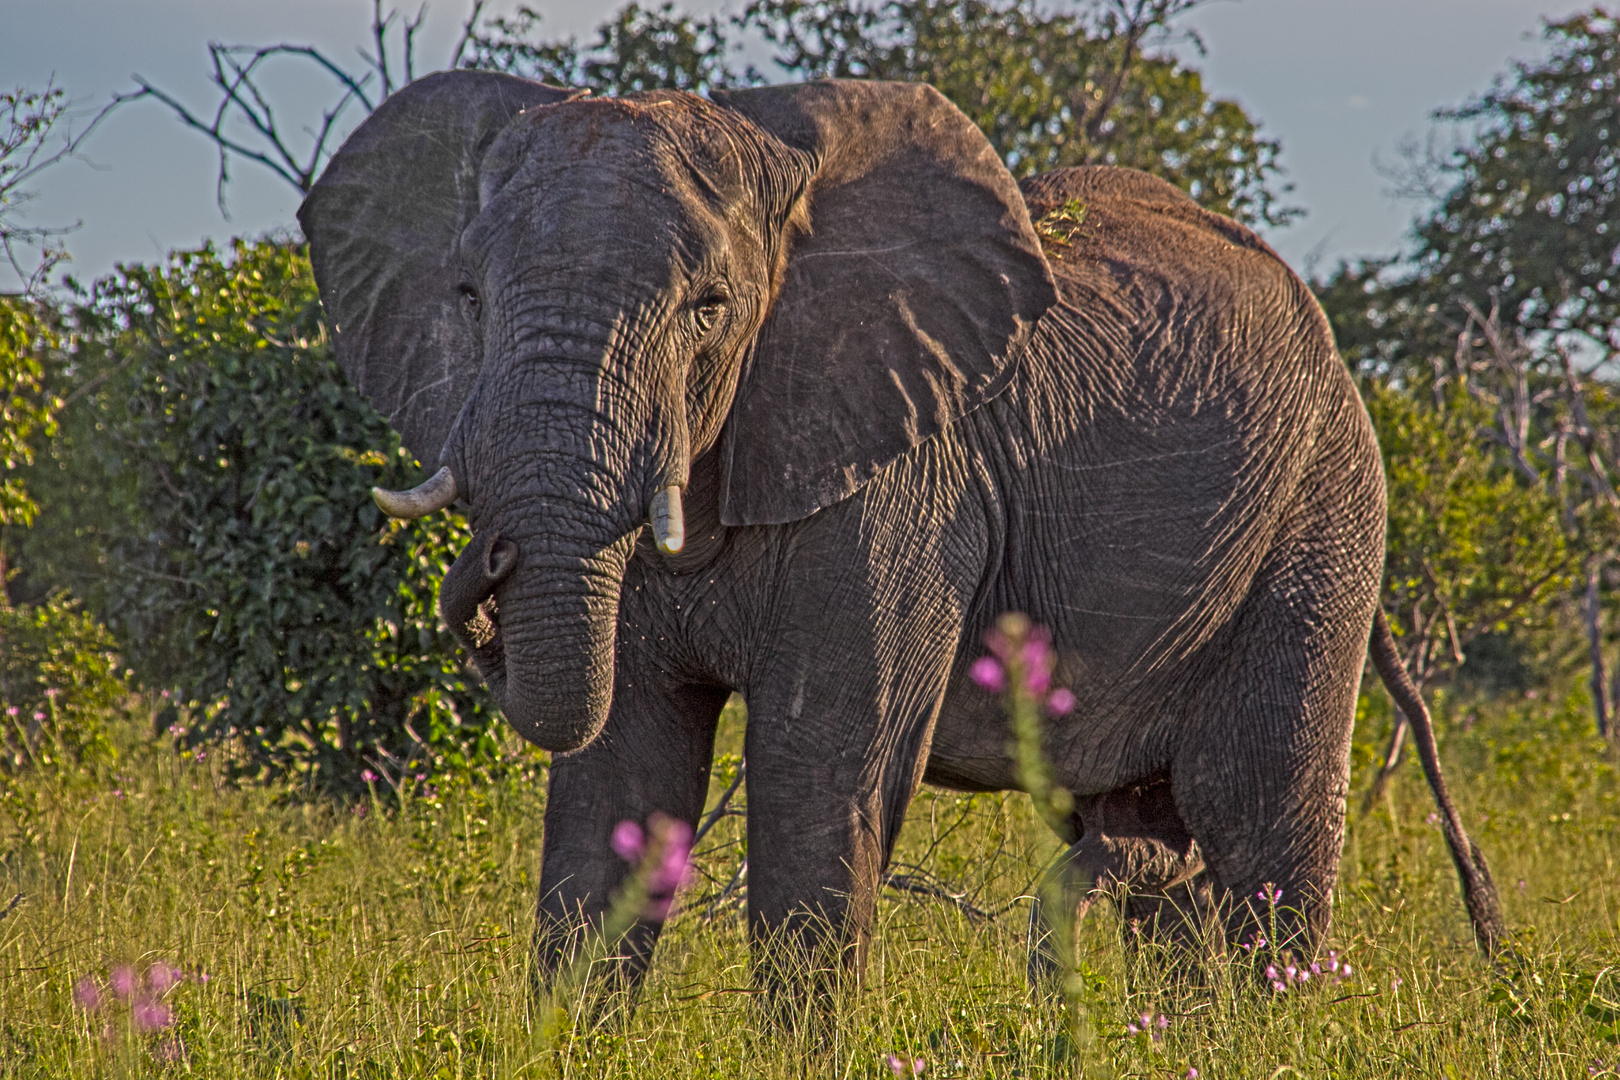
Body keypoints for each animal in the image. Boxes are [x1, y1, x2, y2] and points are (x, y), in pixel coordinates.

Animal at [294, 65, 1503, 997]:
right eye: (468, 298)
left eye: (709, 307)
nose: (489, 562)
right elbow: (616, 774)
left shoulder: (907, 483)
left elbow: (823, 763)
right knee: (1160, 853)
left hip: (1321, 515)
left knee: (1260, 828)